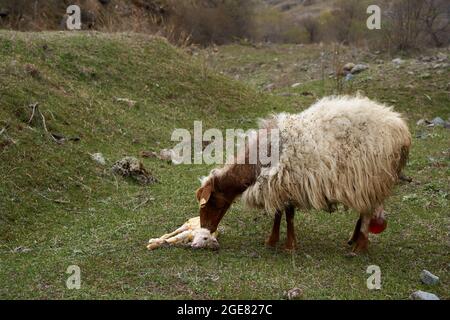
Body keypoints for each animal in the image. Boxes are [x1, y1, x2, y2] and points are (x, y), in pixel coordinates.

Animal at [195, 95, 410, 252]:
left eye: (213, 202)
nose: (206, 229)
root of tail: (401, 130)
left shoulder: (286, 182)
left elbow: (288, 215)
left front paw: (289, 245)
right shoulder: (277, 185)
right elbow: (279, 214)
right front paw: (272, 241)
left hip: (371, 177)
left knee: (366, 213)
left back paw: (359, 247)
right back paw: (353, 239)